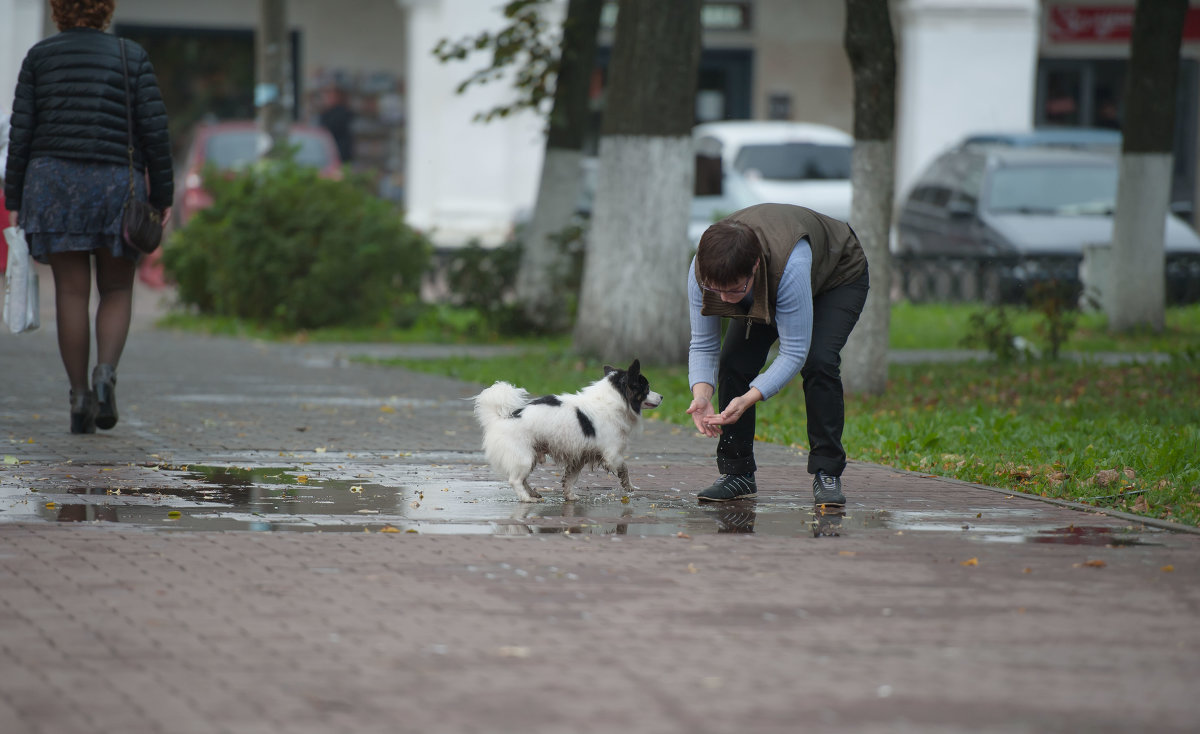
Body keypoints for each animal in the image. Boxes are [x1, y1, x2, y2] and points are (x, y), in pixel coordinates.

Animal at [470, 362, 662, 503]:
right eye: (646, 389)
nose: (662, 396)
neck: (614, 401)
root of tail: (500, 418)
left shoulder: (579, 457)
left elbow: (570, 479)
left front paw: (570, 496)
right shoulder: (612, 454)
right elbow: (625, 468)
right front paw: (628, 486)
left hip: (530, 457)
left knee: (522, 479)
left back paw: (533, 493)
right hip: (524, 457)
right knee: (515, 480)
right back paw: (526, 498)